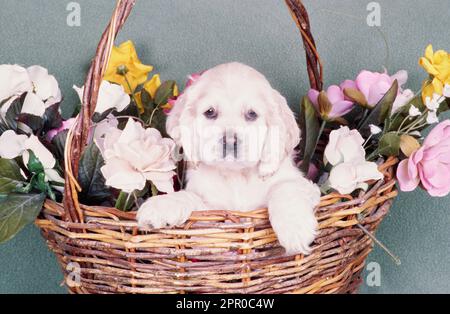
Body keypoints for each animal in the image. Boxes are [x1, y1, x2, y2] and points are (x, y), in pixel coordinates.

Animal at [137, 62, 320, 255]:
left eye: (252, 114)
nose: (230, 142)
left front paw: (295, 228)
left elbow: (285, 187)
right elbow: (191, 198)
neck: (236, 176)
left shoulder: (308, 187)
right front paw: (161, 206)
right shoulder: (212, 213)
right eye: (210, 112)